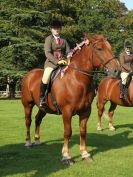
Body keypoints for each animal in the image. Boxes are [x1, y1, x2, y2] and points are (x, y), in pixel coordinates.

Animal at [21, 34, 119, 165]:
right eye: (99, 49)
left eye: (110, 47)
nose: (117, 70)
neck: (76, 80)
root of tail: (28, 75)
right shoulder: (67, 111)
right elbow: (67, 132)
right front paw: (66, 156)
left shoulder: (85, 111)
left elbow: (83, 131)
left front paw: (85, 154)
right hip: (28, 105)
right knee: (28, 121)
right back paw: (28, 142)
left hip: (43, 108)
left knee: (37, 119)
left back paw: (37, 140)